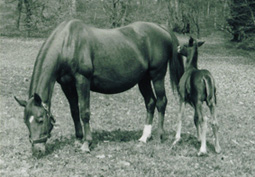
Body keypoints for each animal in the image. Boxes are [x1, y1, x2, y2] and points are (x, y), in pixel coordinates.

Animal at [14, 19, 183, 155]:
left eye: (40, 119)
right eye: (25, 121)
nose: (37, 150)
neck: (68, 44)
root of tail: (161, 28)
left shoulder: (82, 81)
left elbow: (84, 112)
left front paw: (86, 143)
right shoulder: (67, 85)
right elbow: (74, 112)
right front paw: (78, 139)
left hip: (157, 75)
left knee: (161, 102)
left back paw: (159, 136)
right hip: (144, 79)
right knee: (150, 102)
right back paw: (144, 137)